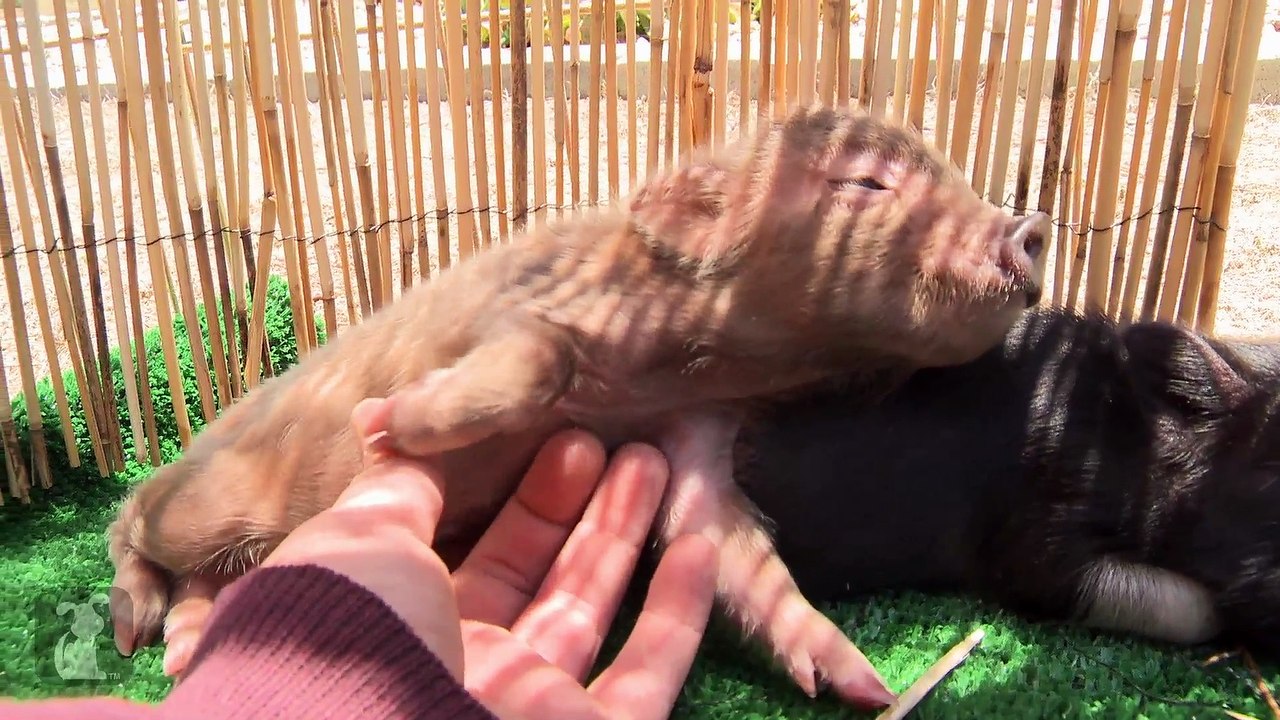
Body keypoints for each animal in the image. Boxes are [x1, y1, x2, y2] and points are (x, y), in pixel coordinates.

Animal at [106, 103, 1049, 708]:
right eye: (865, 183)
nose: (1030, 227)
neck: (683, 364)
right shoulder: (520, 321)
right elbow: (532, 362)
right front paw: (389, 424)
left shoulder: (694, 436)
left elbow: (734, 553)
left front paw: (862, 683)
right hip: (203, 503)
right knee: (133, 515)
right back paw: (131, 631)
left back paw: (182, 650)